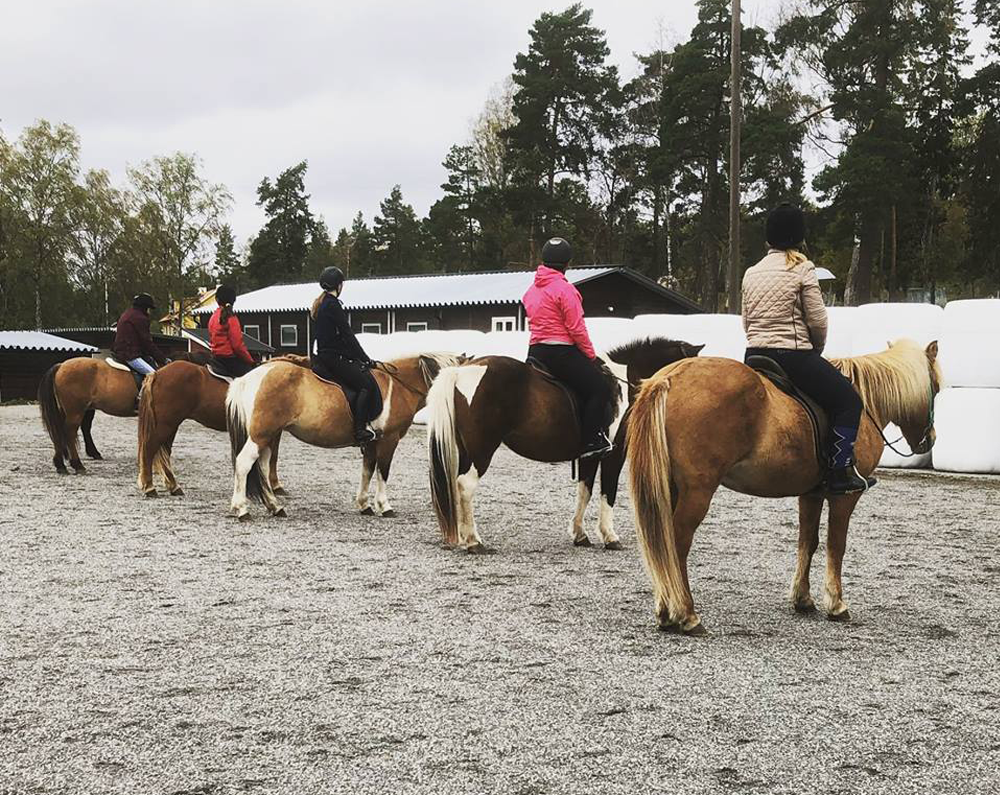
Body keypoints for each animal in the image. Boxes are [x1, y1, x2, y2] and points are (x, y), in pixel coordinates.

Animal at [38, 350, 220, 472]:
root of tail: (61, 365)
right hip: (76, 410)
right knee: (68, 432)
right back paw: (77, 464)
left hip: (79, 409)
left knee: (64, 431)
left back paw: (63, 463)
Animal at [135, 360, 284, 498]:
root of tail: (157, 373)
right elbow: (273, 457)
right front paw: (276, 486)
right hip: (166, 424)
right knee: (149, 449)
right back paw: (150, 487)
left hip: (170, 426)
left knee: (164, 453)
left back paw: (174, 487)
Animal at [228, 354, 464, 524]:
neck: (400, 386)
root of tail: (249, 377)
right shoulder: (389, 440)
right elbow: (383, 472)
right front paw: (384, 506)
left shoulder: (372, 442)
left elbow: (367, 470)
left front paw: (364, 505)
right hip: (261, 434)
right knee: (244, 463)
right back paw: (241, 509)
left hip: (269, 435)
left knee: (262, 467)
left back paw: (275, 507)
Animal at [430, 338, 704, 556]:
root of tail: (462, 371)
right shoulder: (614, 454)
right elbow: (608, 492)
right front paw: (610, 536)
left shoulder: (589, 456)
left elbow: (584, 491)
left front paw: (580, 535)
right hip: (482, 449)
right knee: (466, 485)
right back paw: (474, 542)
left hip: (467, 450)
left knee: (457, 484)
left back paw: (464, 536)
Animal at [628, 338, 940, 636]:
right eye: (935, 389)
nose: (930, 440)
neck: (866, 404)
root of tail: (669, 377)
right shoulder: (846, 496)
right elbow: (836, 545)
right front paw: (836, 604)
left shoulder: (811, 494)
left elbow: (808, 542)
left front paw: (803, 600)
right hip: (698, 491)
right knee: (676, 543)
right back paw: (687, 615)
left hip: (670, 487)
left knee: (661, 543)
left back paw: (666, 611)